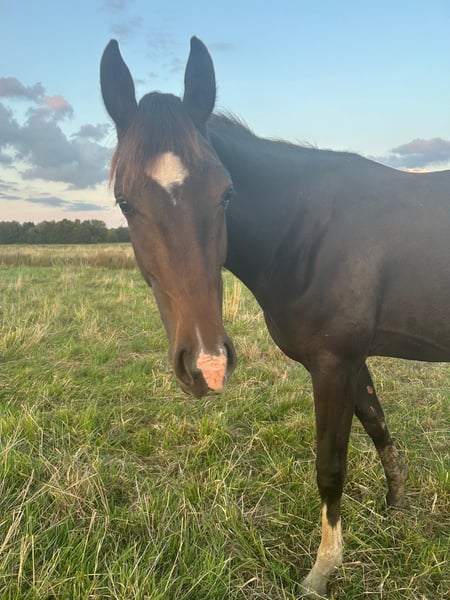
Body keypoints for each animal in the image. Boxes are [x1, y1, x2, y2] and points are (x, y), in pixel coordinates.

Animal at [100, 37, 450, 598]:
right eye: (125, 201)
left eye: (226, 193)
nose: (208, 364)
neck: (309, 230)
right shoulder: (352, 361)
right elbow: (378, 425)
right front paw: (397, 506)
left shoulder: (333, 364)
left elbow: (330, 466)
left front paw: (321, 571)